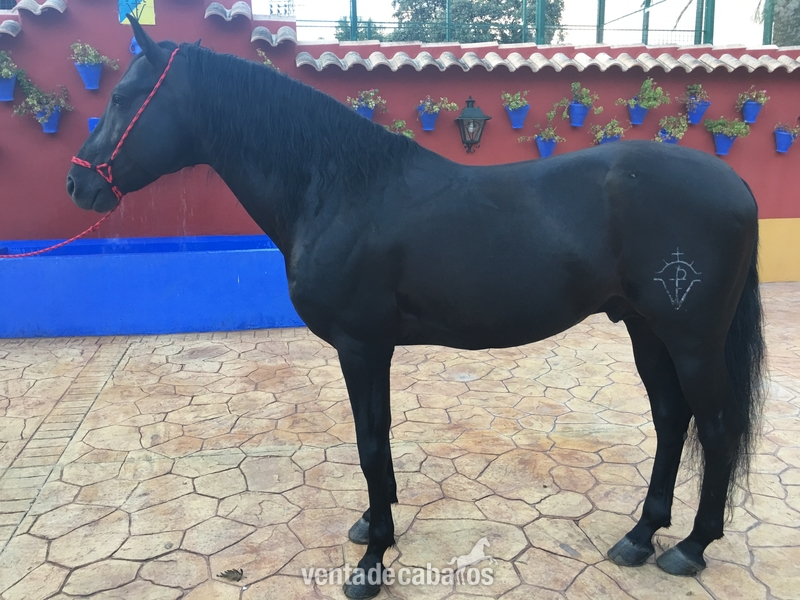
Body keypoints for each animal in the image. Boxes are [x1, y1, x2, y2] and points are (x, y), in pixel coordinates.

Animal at [67, 18, 764, 599]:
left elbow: (370, 444)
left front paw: (371, 564)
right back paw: (640, 537)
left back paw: (691, 548)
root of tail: (735, 183)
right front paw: (374, 524)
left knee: (717, 425)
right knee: (673, 420)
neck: (338, 188)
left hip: (692, 339)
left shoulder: (361, 345)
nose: (79, 183)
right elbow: (378, 441)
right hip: (648, 330)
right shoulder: (372, 348)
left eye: (124, 98)